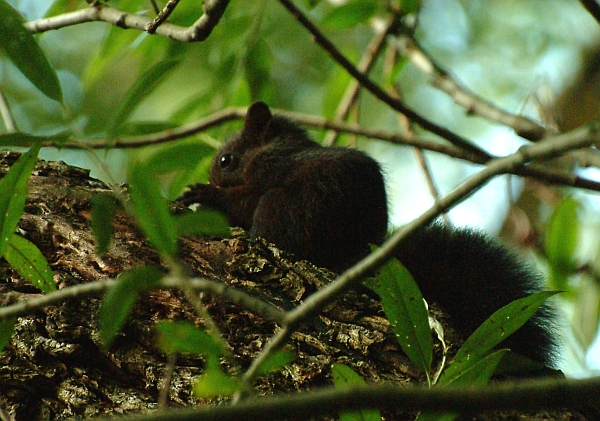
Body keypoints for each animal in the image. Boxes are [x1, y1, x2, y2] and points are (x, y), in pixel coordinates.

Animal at [177, 101, 556, 368]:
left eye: (226, 159)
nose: (212, 175)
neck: (274, 147)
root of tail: (354, 255)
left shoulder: (270, 170)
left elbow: (242, 200)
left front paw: (205, 195)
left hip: (286, 209)